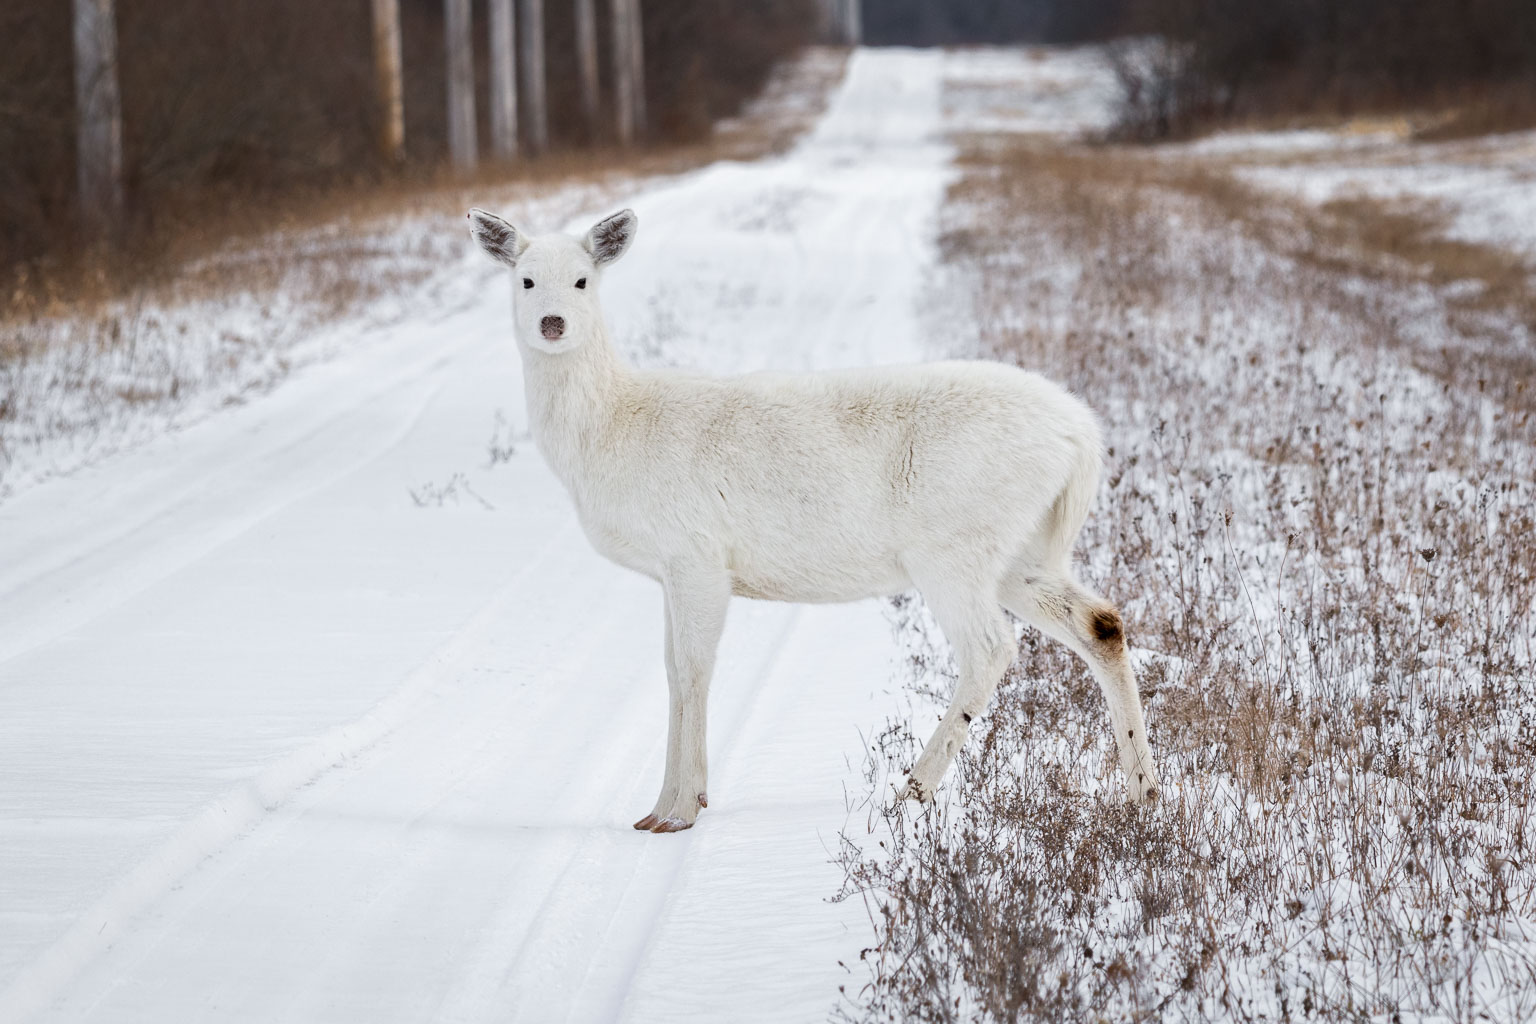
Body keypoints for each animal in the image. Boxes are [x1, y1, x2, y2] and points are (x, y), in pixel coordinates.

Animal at [466, 205, 1161, 835]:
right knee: (1101, 621)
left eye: (583, 280)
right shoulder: (670, 569)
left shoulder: (696, 554)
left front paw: (679, 810)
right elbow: (670, 672)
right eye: (525, 280)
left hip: (955, 542)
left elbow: (691, 673)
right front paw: (663, 805)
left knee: (992, 648)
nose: (552, 322)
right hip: (1023, 551)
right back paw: (1144, 791)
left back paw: (910, 790)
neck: (610, 434)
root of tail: (1082, 437)